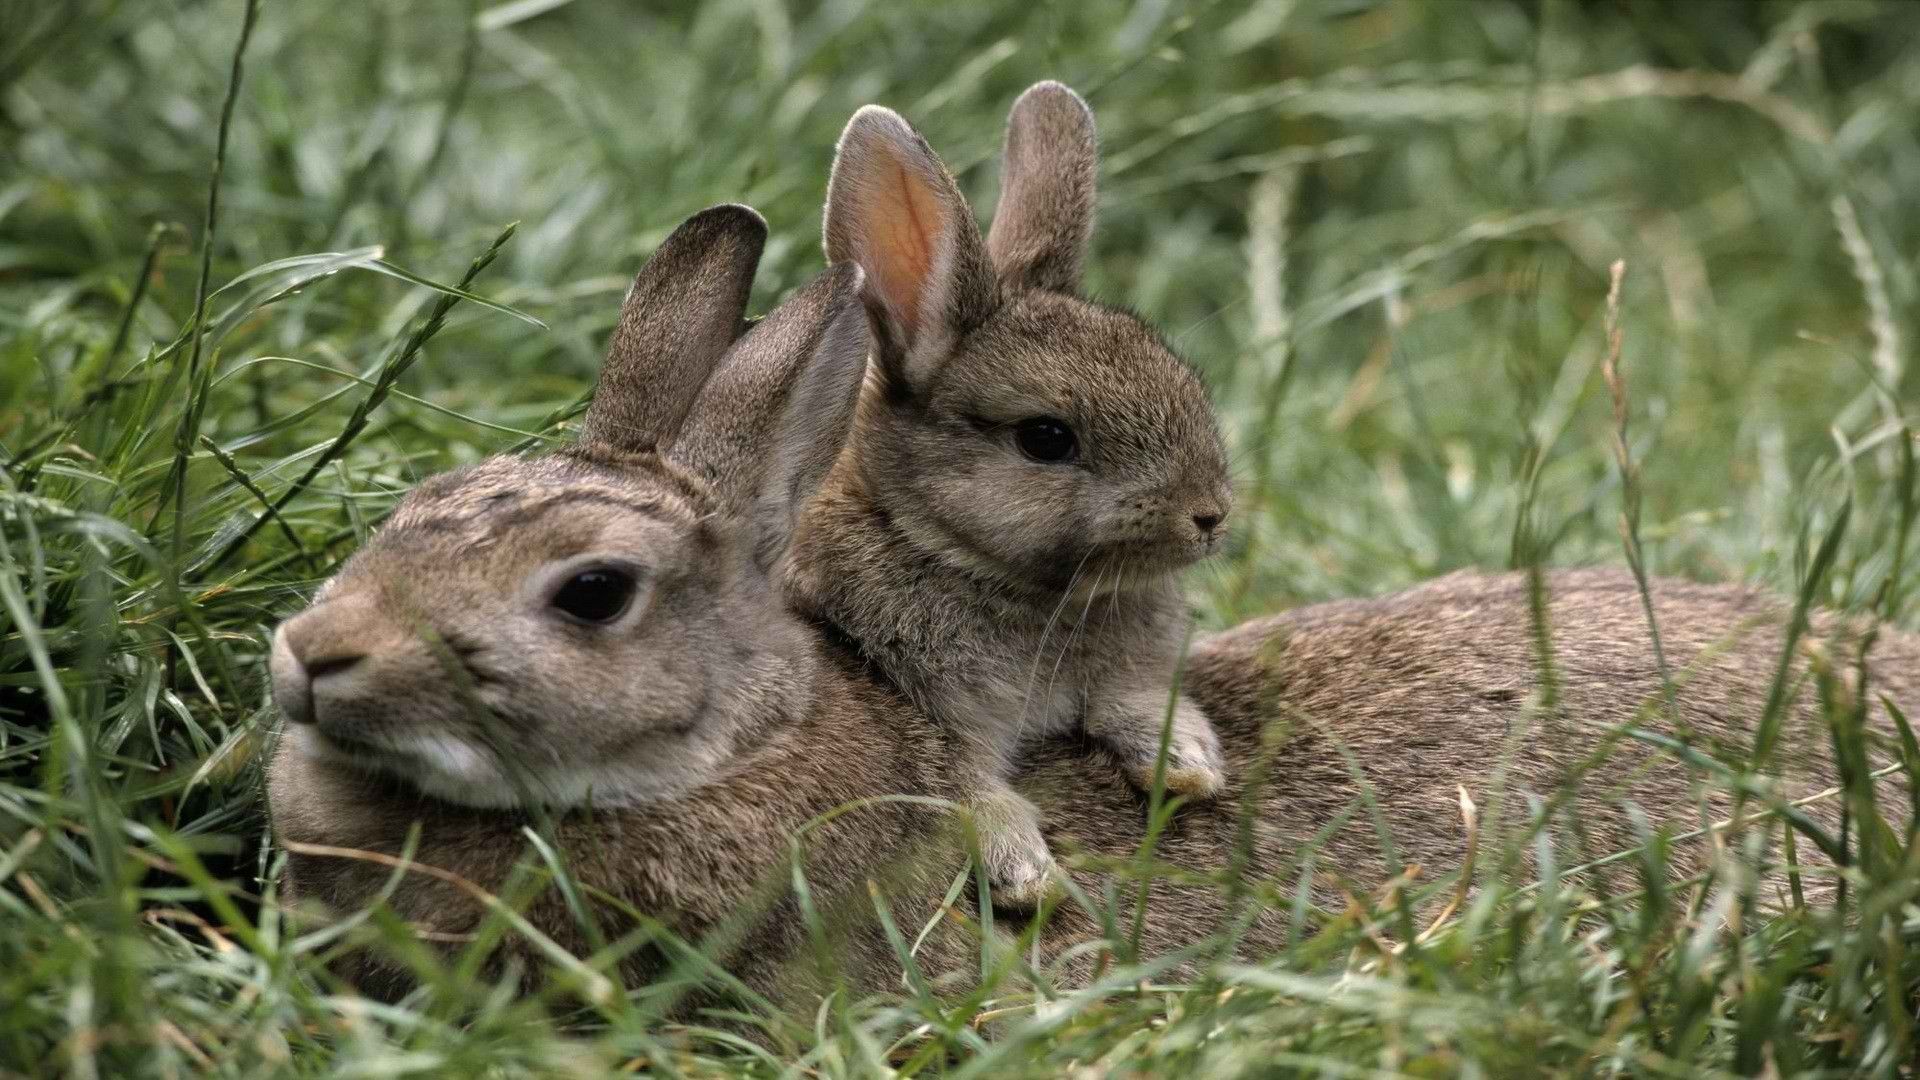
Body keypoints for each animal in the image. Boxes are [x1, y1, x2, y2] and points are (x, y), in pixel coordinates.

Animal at [787, 84, 1236, 903]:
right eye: (1046, 439)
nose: (1210, 515)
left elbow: (1135, 698)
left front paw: (1187, 764)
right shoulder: (926, 711)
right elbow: (961, 783)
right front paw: (1026, 874)